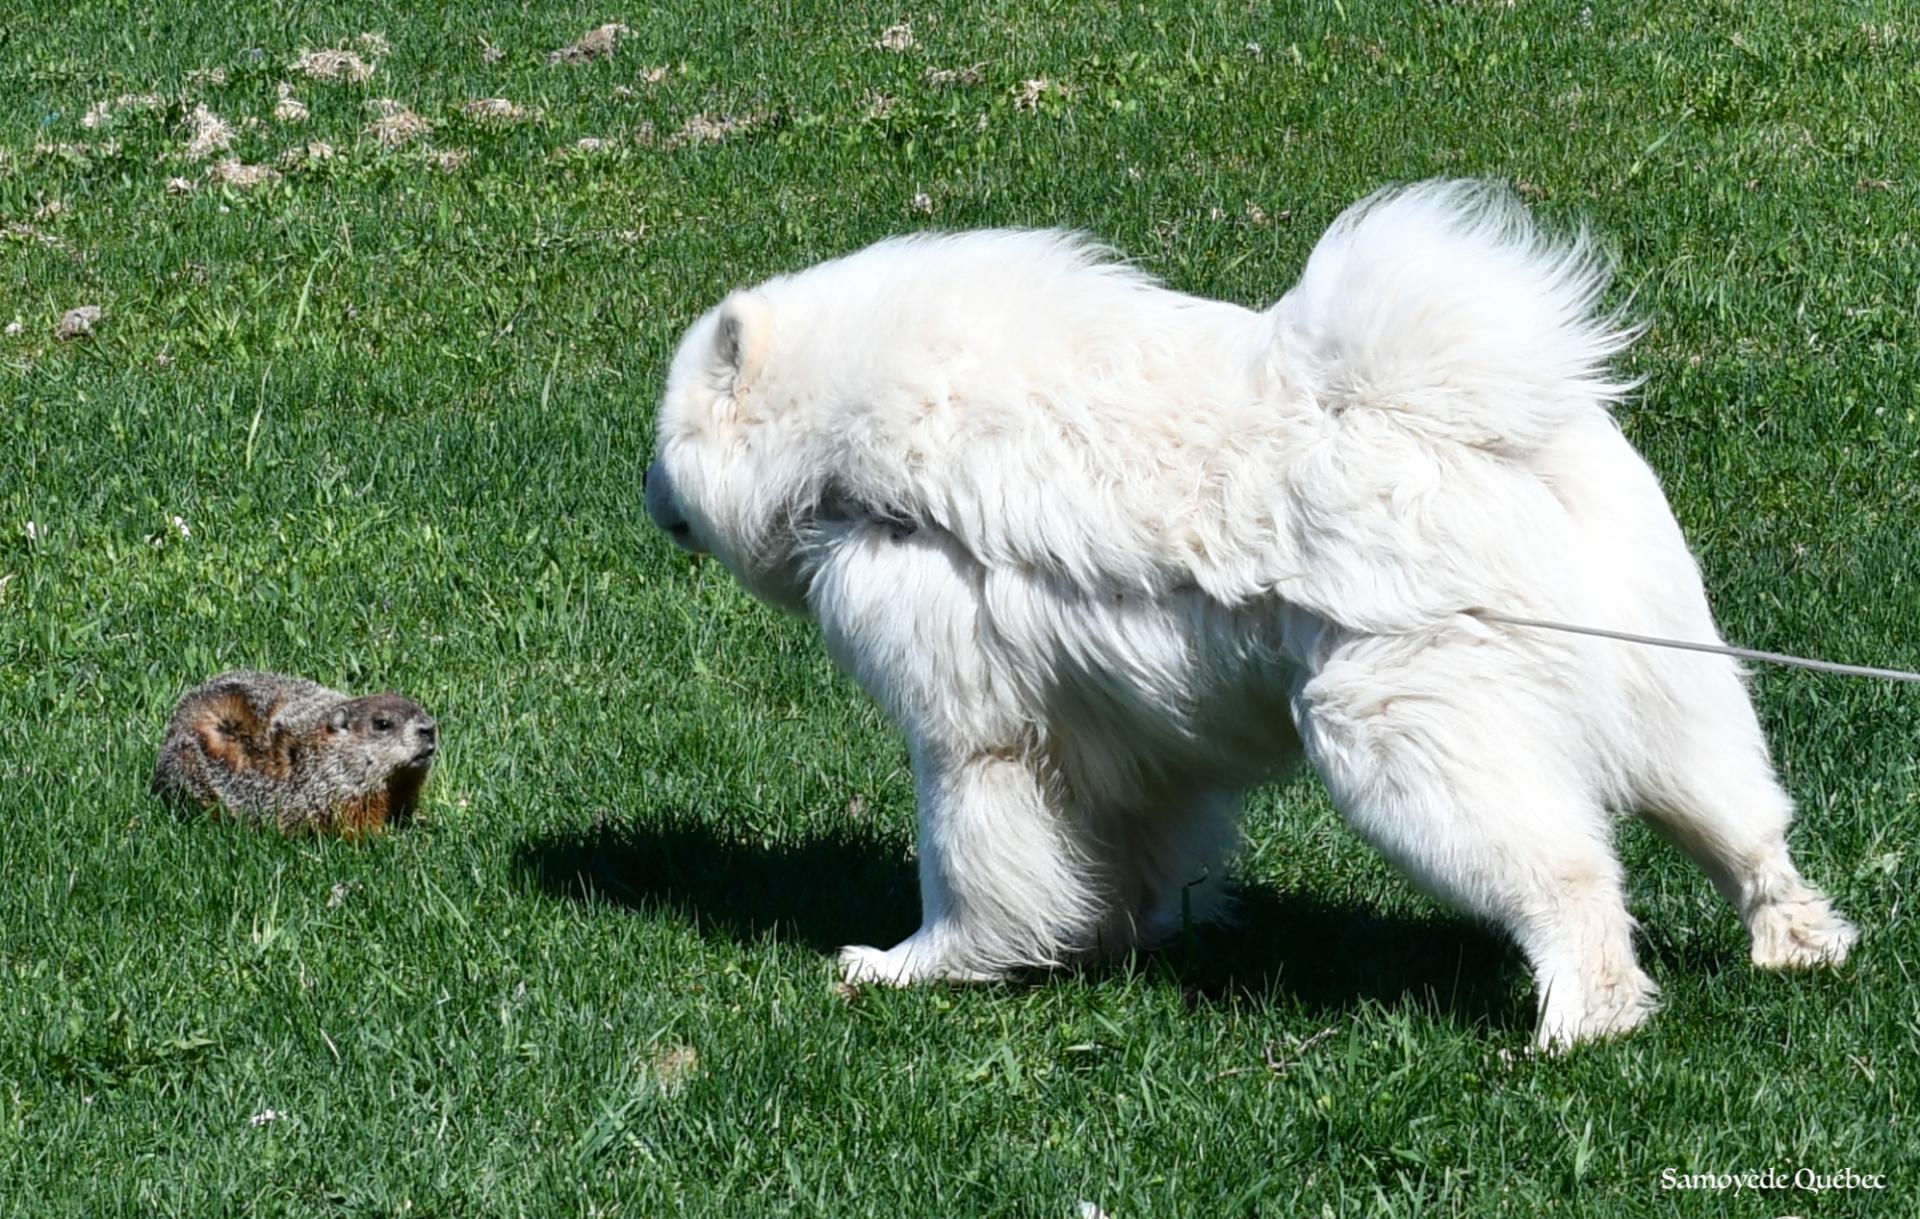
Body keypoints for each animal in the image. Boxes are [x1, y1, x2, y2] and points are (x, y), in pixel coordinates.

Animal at [645, 183, 1858, 1051]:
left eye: (664, 440)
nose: (645, 495)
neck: (845, 452)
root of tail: (1460, 420)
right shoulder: (1131, 735)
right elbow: (1137, 842)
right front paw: (1119, 935)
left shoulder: (969, 728)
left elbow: (969, 864)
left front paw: (913, 965)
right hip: (1672, 686)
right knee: (1744, 825)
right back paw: (1797, 942)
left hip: (1397, 729)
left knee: (1566, 878)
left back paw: (1577, 1024)